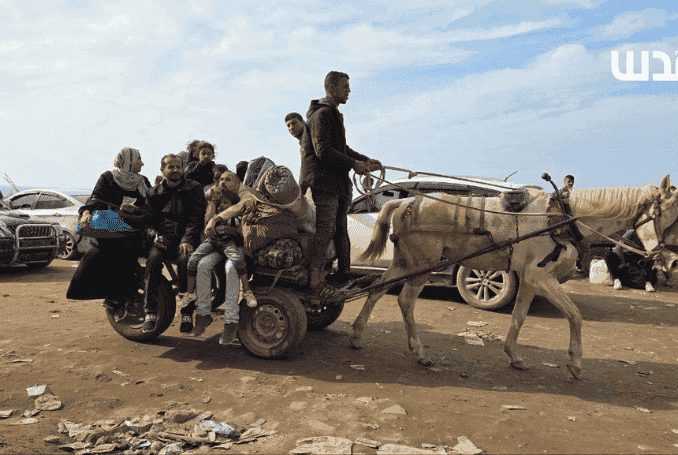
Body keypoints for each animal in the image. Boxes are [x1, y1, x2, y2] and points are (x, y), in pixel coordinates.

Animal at [350, 175, 678, 378]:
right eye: (670, 216)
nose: (673, 262)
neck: (560, 218)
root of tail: (405, 203)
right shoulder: (542, 277)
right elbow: (574, 315)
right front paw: (574, 362)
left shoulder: (530, 278)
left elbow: (519, 316)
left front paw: (514, 356)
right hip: (423, 263)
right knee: (405, 300)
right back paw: (418, 352)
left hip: (406, 261)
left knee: (377, 289)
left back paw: (357, 334)